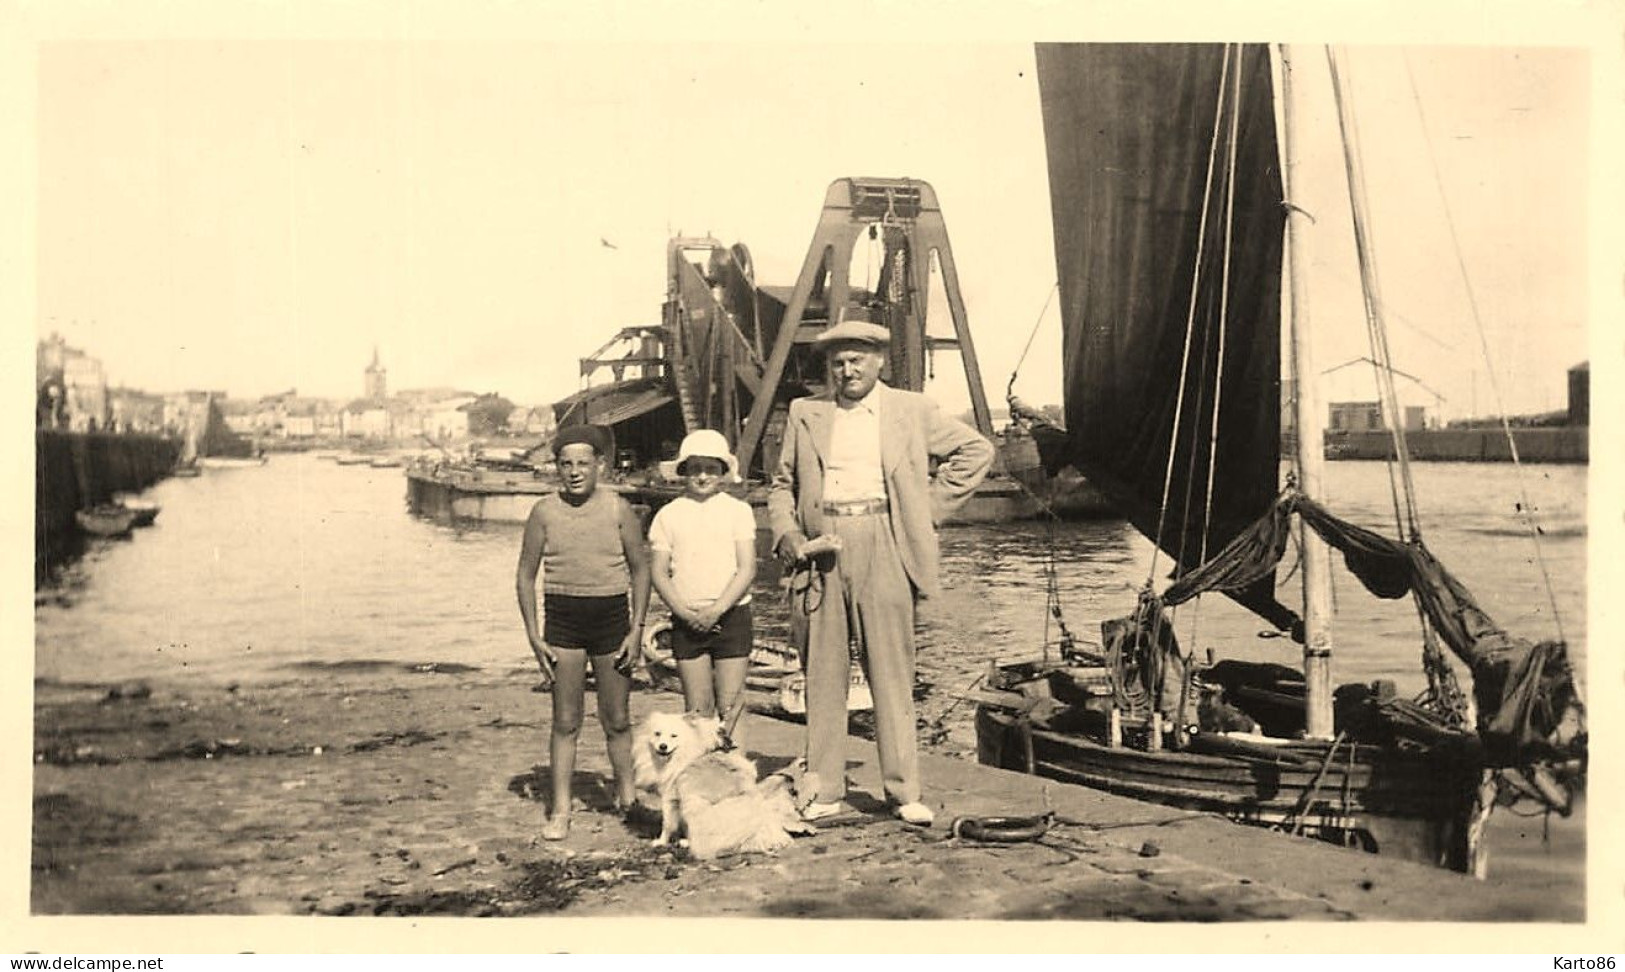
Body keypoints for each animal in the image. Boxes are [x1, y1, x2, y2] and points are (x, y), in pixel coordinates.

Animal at [630, 711, 819, 864]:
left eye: (673, 736)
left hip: (695, 804)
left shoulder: (671, 796)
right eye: (657, 734)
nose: (662, 746)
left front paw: (661, 841)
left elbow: (668, 824)